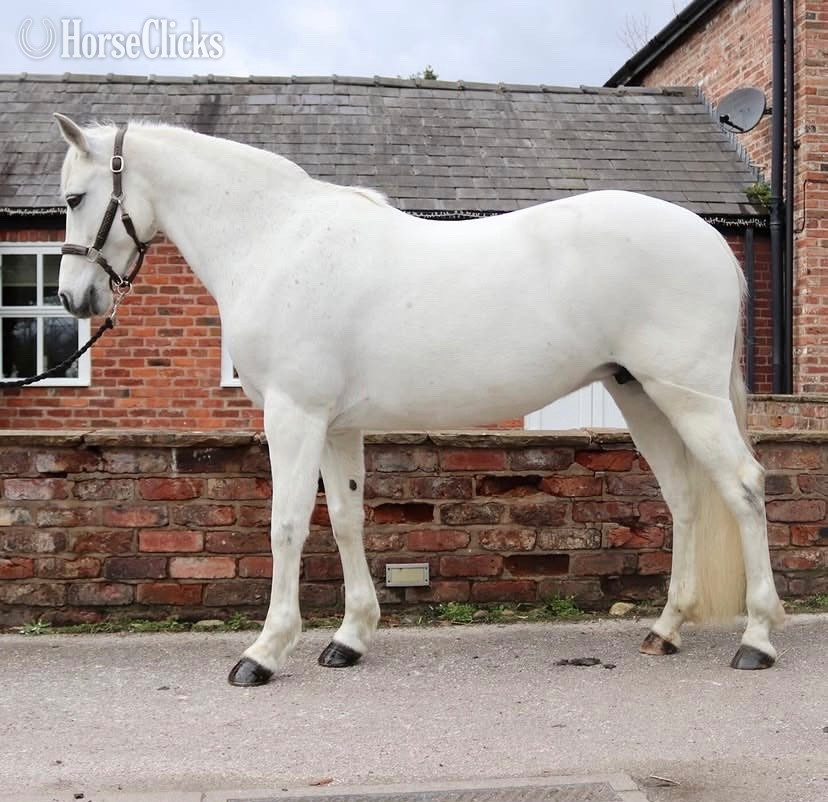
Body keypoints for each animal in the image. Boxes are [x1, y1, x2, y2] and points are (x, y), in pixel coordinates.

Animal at [53, 114, 785, 686]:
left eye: (75, 196)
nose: (73, 299)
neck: (276, 239)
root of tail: (708, 238)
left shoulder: (294, 415)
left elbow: (287, 524)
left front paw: (263, 652)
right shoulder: (336, 425)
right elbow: (346, 520)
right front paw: (348, 639)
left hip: (687, 396)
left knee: (744, 486)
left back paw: (758, 639)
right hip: (641, 395)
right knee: (685, 499)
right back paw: (666, 629)